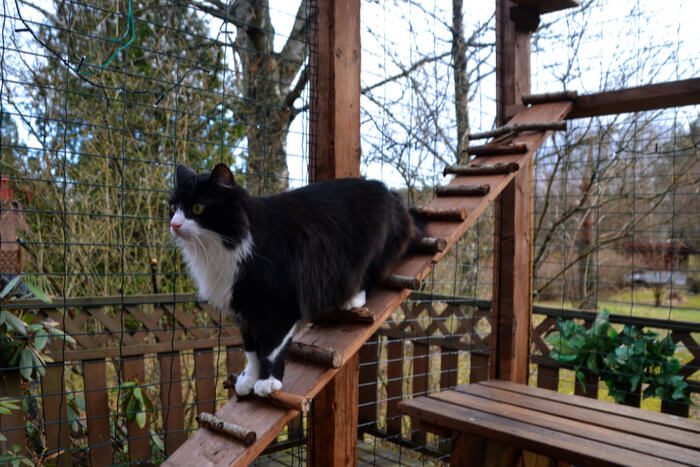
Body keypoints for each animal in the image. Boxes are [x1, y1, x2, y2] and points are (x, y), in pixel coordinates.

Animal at [170, 165, 418, 398]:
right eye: (172, 208)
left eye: (197, 208)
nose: (174, 224)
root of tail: (387, 190)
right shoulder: (245, 312)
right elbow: (251, 350)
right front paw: (248, 379)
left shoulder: (281, 306)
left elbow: (270, 349)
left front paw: (268, 382)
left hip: (369, 253)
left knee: (368, 276)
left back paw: (352, 300)